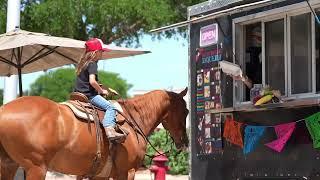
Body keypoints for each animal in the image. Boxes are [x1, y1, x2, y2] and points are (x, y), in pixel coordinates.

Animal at [0, 88, 189, 179]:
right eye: (186, 111)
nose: (185, 142)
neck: (133, 119)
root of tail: (3, 110)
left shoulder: (100, 176)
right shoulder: (127, 172)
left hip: (9, 166)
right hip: (36, 168)